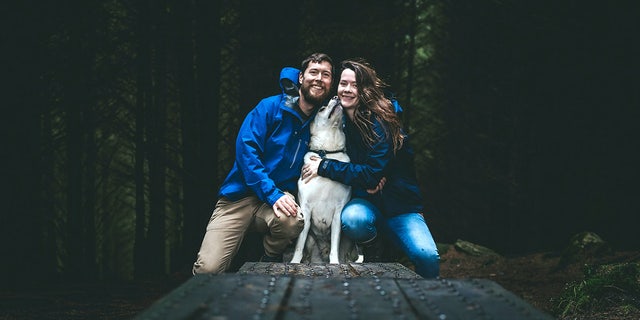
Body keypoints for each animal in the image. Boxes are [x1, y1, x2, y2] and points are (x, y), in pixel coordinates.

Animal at [292, 96, 360, 264]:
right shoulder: (305, 210)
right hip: (311, 242)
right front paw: (294, 262)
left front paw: (334, 263)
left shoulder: (338, 211)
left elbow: (335, 244)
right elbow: (299, 245)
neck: (328, 154)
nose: (336, 97)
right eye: (321, 109)